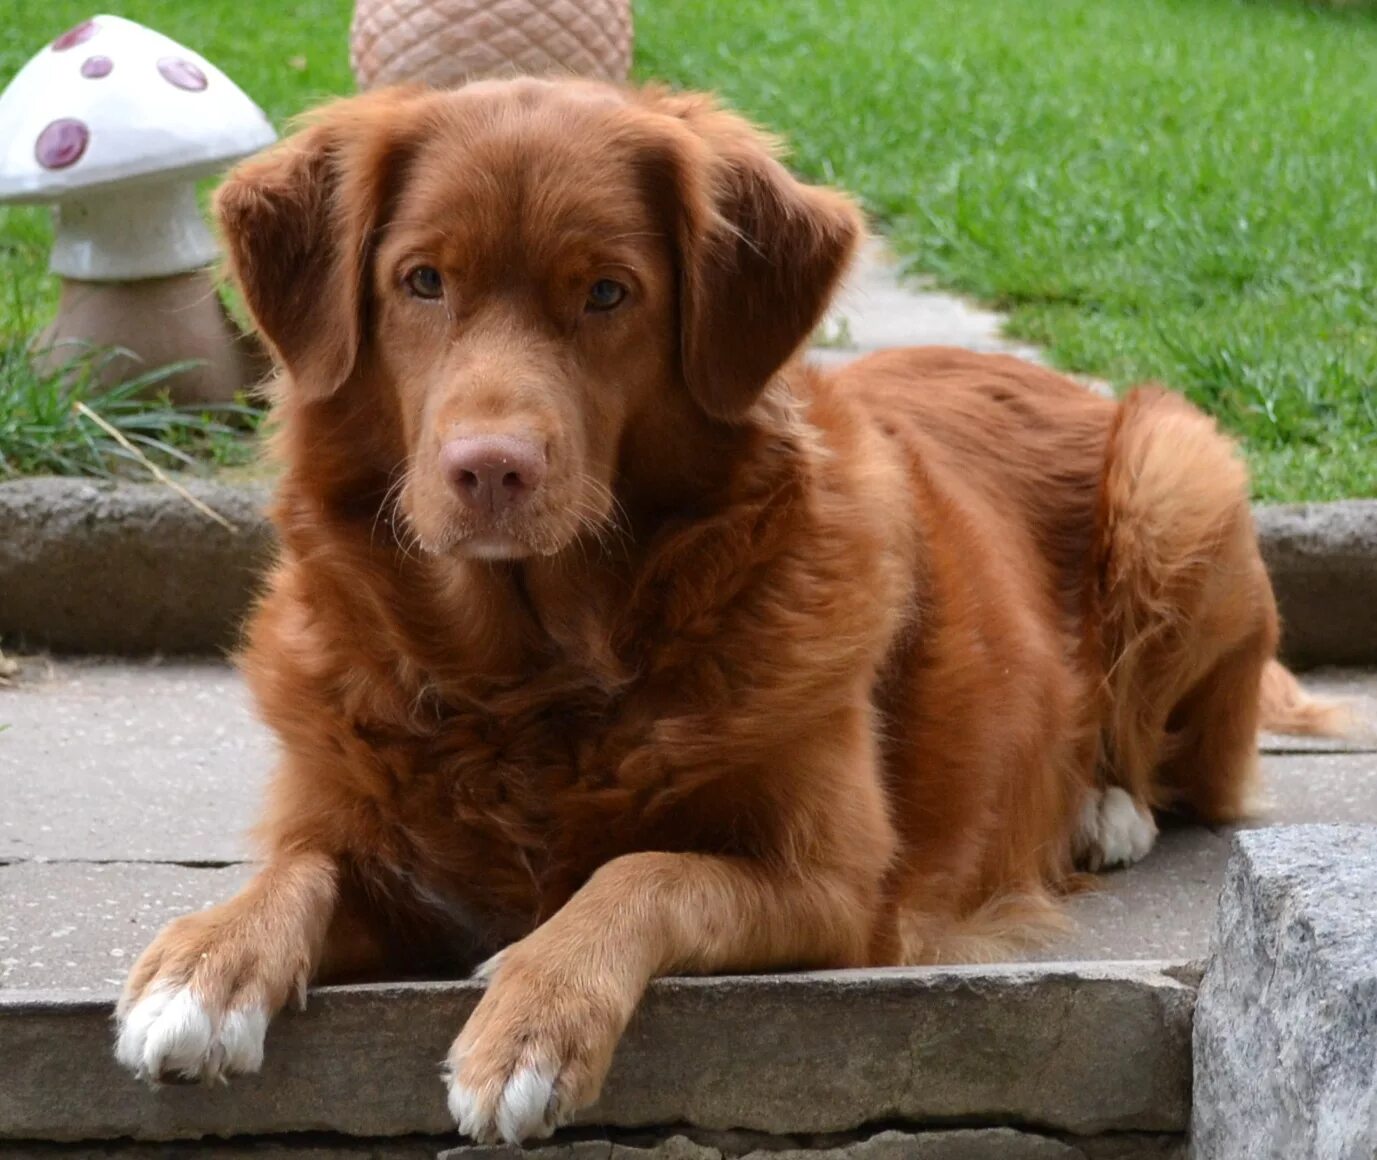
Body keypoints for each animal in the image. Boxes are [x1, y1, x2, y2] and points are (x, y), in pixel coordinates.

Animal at [112, 79, 1338, 1140]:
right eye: (421, 281)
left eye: (607, 292)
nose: (488, 469)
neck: (530, 679)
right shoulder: (369, 829)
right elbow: (299, 864)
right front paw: (206, 961)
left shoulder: (835, 888)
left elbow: (641, 872)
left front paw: (533, 1019)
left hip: (1178, 473)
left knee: (1170, 758)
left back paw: (1104, 809)